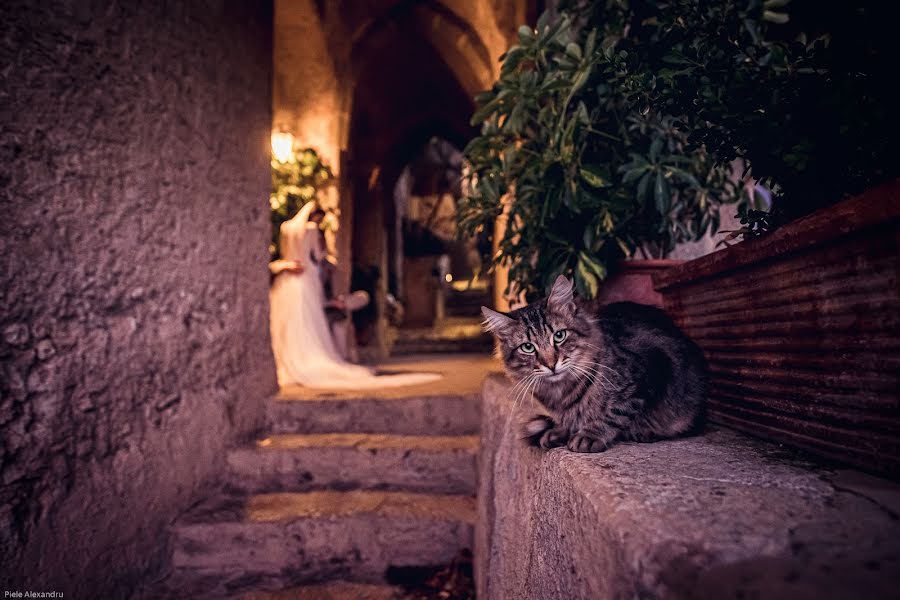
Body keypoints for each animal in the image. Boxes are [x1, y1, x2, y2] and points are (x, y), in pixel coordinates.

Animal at [482, 276, 708, 450]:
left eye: (559, 336)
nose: (551, 364)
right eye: (528, 347)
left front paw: (589, 435)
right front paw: (559, 432)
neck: (562, 392)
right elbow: (567, 421)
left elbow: (614, 412)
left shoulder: (646, 373)